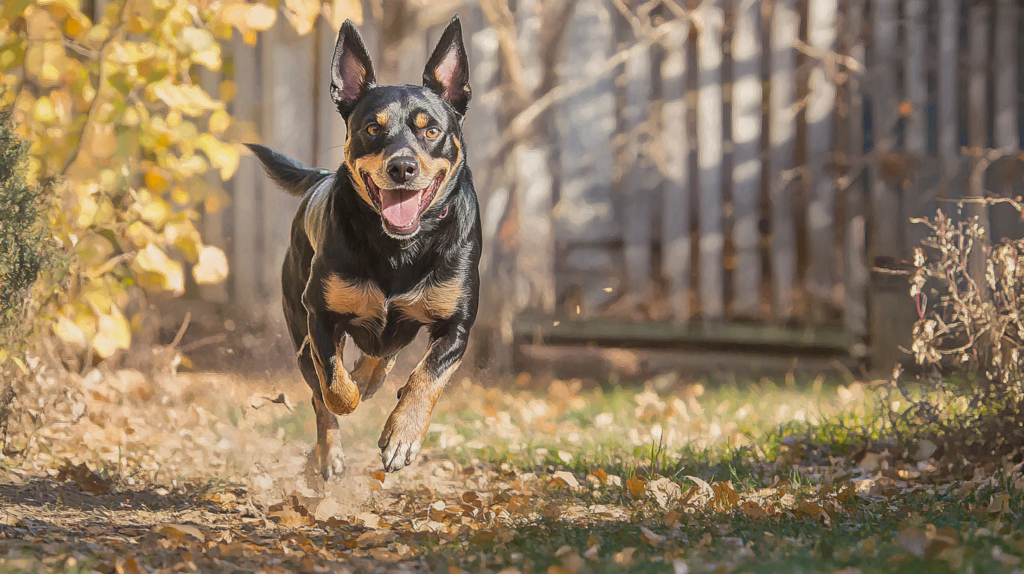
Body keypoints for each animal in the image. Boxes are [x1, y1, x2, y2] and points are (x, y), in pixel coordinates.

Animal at [247, 15, 479, 476]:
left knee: (386, 351)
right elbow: (333, 387)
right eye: (373, 128)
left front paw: (403, 435)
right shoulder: (318, 315)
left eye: (431, 130)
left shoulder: (458, 323)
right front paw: (349, 396)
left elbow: (428, 377)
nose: (402, 166)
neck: (398, 248)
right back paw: (330, 450)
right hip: (296, 312)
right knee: (321, 388)